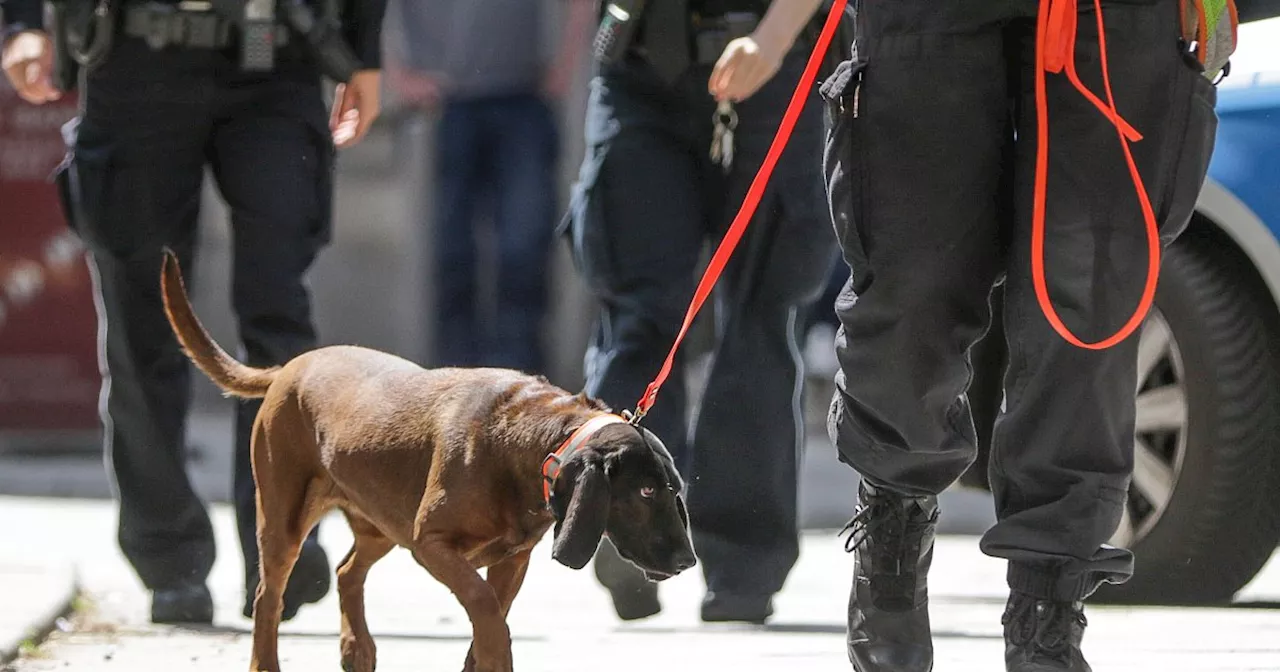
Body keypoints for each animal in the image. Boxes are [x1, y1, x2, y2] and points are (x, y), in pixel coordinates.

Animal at [162, 250, 701, 670]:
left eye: (675, 491)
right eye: (645, 491)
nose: (687, 560)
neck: (529, 441)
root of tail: (290, 368)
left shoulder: (511, 560)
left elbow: (490, 613)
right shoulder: (431, 542)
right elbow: (484, 608)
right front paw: (498, 653)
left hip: (382, 520)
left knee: (348, 572)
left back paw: (357, 649)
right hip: (287, 520)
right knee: (268, 598)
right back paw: (268, 659)